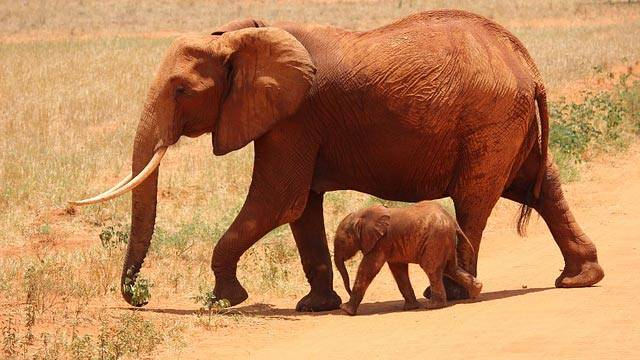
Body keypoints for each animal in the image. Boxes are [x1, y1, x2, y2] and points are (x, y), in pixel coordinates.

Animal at [336, 201, 480, 316]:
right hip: (444, 240)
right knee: (450, 268)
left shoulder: (382, 242)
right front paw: (411, 307)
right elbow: (398, 270)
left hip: (435, 239)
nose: (348, 291)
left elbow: (368, 268)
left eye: (342, 242)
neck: (361, 215)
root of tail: (453, 222)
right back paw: (476, 291)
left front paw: (345, 310)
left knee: (432, 269)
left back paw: (433, 306)